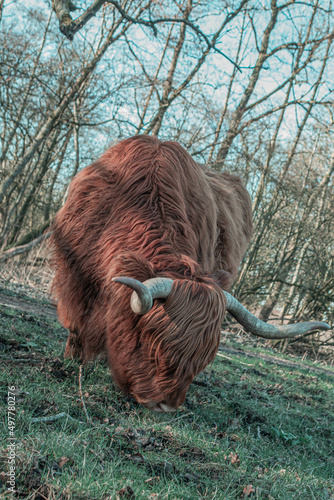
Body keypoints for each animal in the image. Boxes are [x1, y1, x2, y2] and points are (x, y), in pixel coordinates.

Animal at [51, 135, 330, 412]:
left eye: (201, 360)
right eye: (153, 342)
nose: (166, 405)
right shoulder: (74, 275)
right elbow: (75, 327)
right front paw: (72, 361)